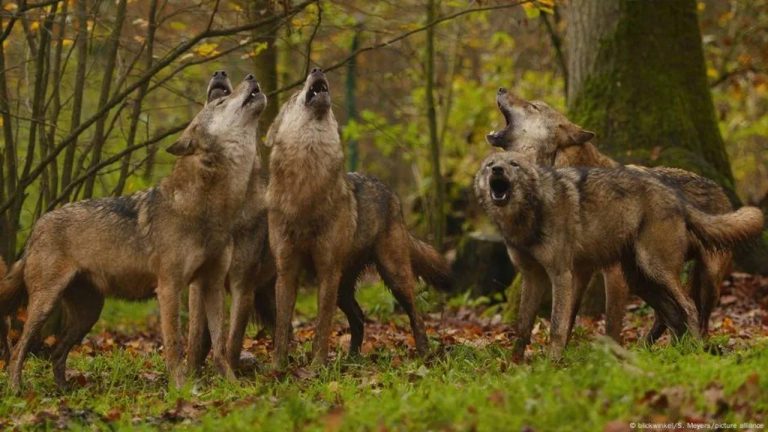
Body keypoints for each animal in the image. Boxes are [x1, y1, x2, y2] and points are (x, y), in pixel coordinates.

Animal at [0, 74, 266, 391]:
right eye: (221, 102)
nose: (251, 77)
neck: (210, 207)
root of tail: (38, 225)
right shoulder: (169, 287)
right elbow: (175, 345)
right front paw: (180, 389)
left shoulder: (210, 285)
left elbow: (221, 344)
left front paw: (233, 385)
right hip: (44, 305)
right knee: (19, 349)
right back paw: (17, 389)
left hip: (89, 313)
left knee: (56, 351)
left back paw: (63, 391)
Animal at [266, 69, 451, 368]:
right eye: (294, 97)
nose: (317, 69)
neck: (307, 187)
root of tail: (391, 193)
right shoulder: (286, 272)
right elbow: (282, 327)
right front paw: (277, 367)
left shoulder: (327, 272)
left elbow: (322, 327)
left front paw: (316, 366)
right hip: (345, 287)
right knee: (360, 317)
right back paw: (351, 360)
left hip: (393, 275)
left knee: (416, 314)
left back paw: (424, 354)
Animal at [474, 151, 763, 359]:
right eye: (490, 165)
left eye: (514, 164)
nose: (498, 170)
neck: (528, 217)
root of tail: (676, 196)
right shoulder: (533, 277)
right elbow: (523, 327)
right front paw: (514, 366)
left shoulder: (561, 274)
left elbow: (557, 325)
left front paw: (552, 363)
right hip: (640, 280)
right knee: (671, 314)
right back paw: (674, 350)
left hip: (661, 270)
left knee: (689, 307)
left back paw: (694, 352)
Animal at [487, 88, 734, 344]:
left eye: (534, 106)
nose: (501, 89)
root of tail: (720, 188)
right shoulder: (579, 271)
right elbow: (568, 321)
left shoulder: (613, 274)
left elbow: (611, 325)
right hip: (643, 279)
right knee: (666, 315)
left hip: (702, 279)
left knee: (695, 312)